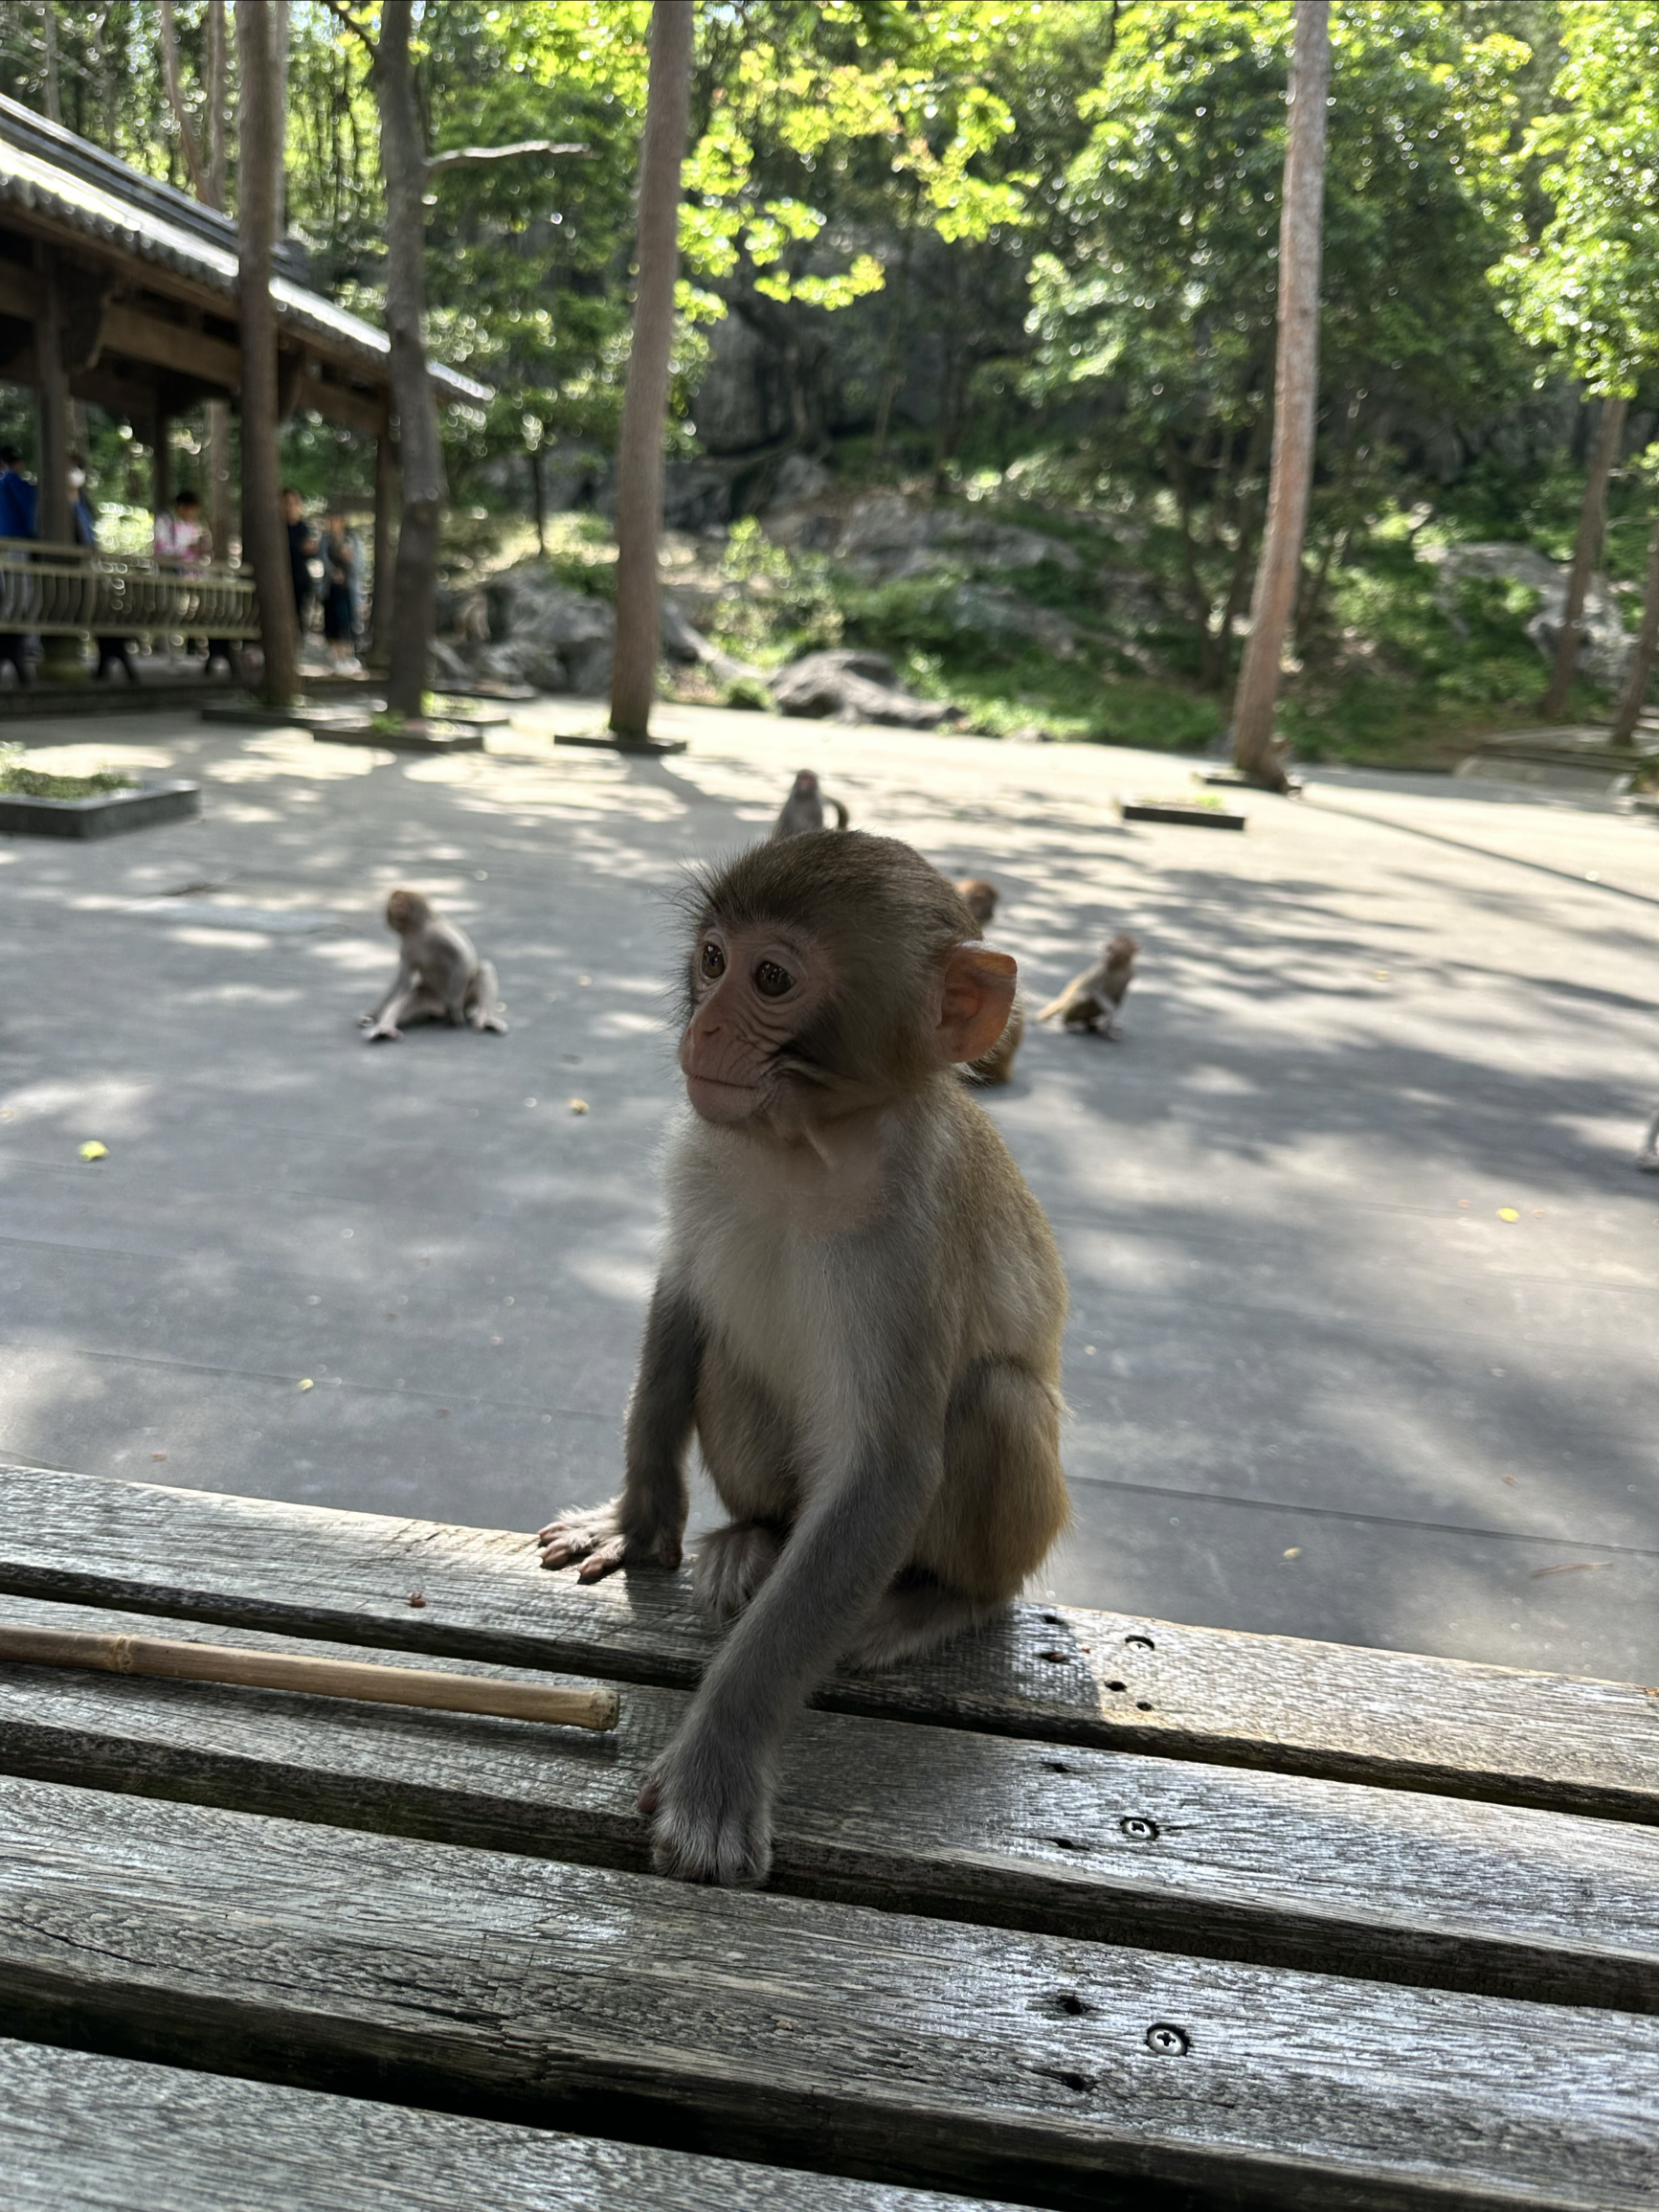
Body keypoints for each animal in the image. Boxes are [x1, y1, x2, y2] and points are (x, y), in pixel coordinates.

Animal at [353, 885, 504, 1039]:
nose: (387, 917)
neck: (416, 928)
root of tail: (439, 1008)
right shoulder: (407, 946)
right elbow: (403, 983)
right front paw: (372, 1014)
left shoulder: (435, 933)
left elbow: (462, 958)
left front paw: (455, 1010)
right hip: (427, 996)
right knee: (410, 995)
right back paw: (385, 1028)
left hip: (466, 999)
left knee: (484, 968)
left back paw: (484, 1018)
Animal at [539, 831, 1070, 1885]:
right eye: (711, 960)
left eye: (772, 978)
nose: (704, 1030)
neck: (806, 1146)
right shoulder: (703, 1146)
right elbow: (684, 1296)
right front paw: (635, 1519)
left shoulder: (914, 1229)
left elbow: (886, 1469)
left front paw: (717, 1763)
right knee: (729, 1360)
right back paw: (758, 1535)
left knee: (994, 1400)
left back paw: (943, 1602)